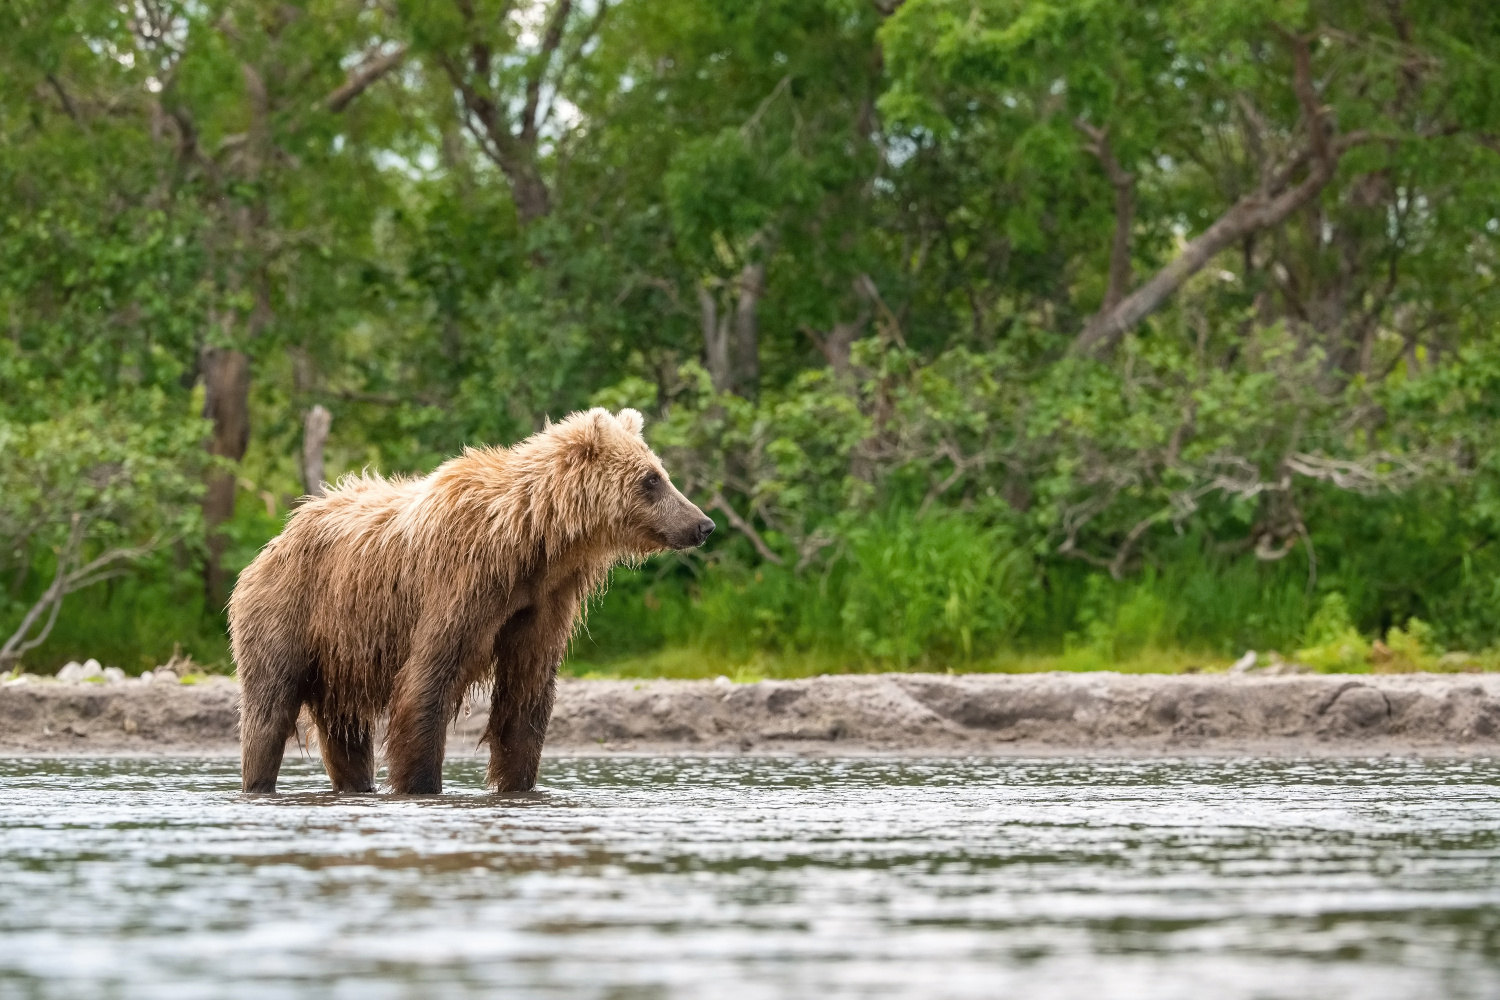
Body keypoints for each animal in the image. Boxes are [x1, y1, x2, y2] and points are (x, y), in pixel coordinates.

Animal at [228, 407, 714, 797]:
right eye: (652, 479)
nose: (702, 523)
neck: (530, 541)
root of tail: (279, 537)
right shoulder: (463, 582)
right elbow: (427, 681)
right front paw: (421, 784)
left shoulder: (542, 601)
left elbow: (526, 694)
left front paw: (519, 783)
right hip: (289, 610)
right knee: (268, 711)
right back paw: (258, 782)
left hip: (340, 653)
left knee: (344, 732)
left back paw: (354, 784)